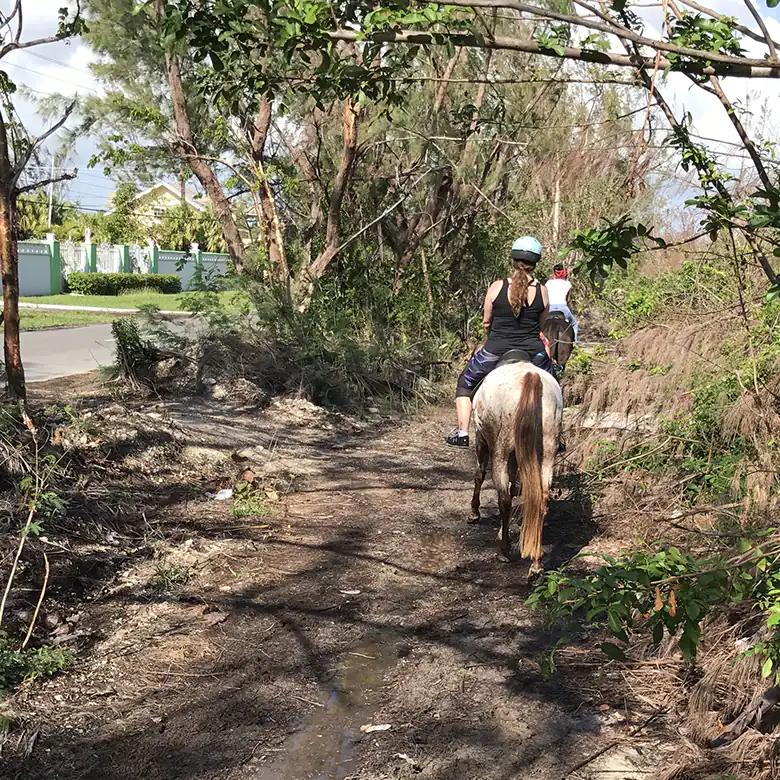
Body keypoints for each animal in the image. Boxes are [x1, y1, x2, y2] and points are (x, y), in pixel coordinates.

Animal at [469, 353, 564, 579]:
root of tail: (531, 377)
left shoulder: (480, 437)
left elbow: (479, 474)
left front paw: (474, 513)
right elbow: (514, 486)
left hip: (501, 449)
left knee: (503, 498)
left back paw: (504, 552)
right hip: (548, 450)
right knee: (542, 498)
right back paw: (536, 564)